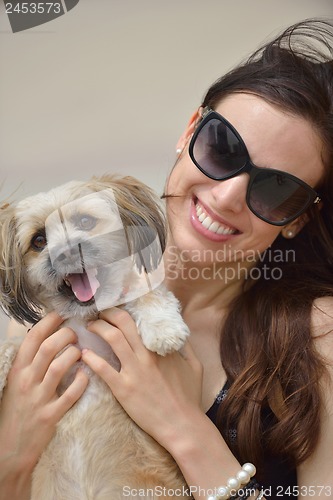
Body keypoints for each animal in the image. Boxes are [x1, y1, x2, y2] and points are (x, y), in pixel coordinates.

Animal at [0, 175, 191, 500]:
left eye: (85, 221)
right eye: (39, 240)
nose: (65, 252)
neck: (83, 318)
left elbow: (150, 294)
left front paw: (163, 328)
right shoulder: (36, 338)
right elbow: (11, 344)